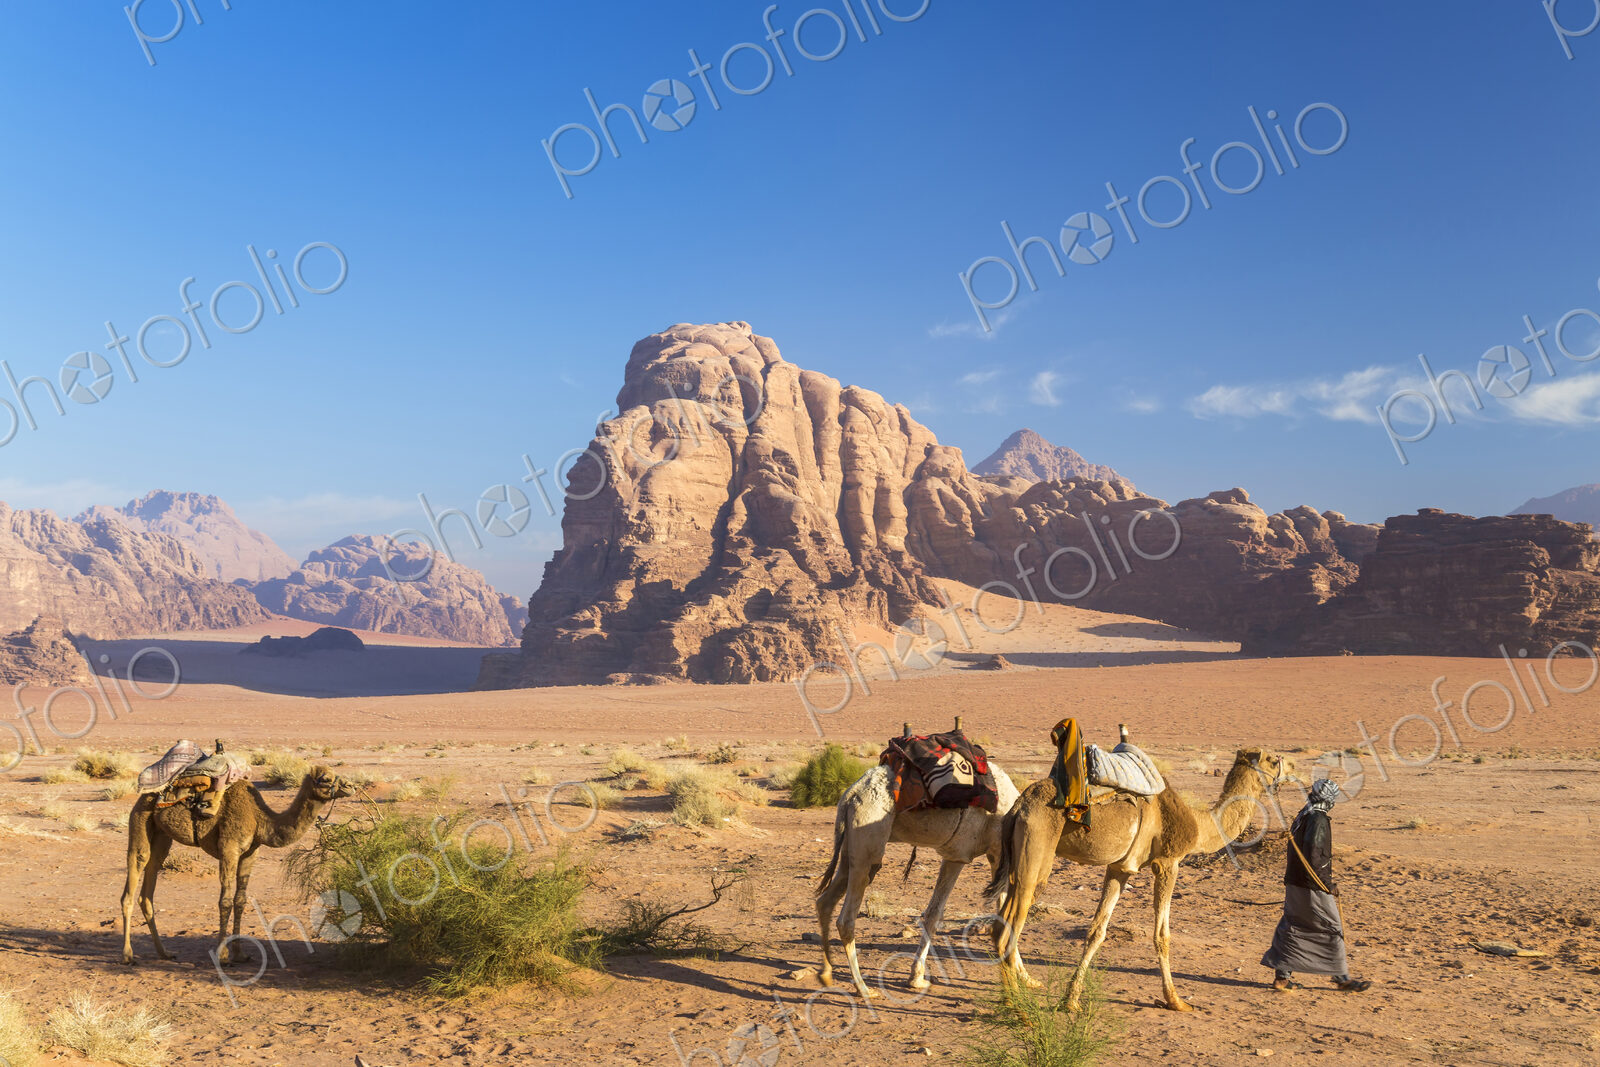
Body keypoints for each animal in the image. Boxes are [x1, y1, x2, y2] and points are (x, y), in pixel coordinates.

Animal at [120, 765, 353, 965]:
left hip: (162, 835)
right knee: (135, 873)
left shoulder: (250, 853)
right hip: (140, 819)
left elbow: (240, 900)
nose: (350, 785)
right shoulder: (229, 848)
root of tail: (146, 794)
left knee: (150, 882)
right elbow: (225, 901)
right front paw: (222, 956)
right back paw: (128, 956)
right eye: (325, 778)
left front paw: (240, 954)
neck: (259, 818)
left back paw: (165, 953)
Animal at [815, 760, 1020, 1001]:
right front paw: (1024, 978)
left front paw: (917, 978)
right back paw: (863, 988)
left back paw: (826, 974)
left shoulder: (956, 857)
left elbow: (934, 913)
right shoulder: (996, 855)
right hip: (867, 841)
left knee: (825, 901)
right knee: (846, 918)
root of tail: (850, 795)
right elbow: (1008, 917)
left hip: (850, 847)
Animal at [986, 747, 1300, 1012]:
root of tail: (1019, 806)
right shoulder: (1168, 863)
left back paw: (1012, 996)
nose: (1293, 769)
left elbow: (1097, 931)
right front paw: (1175, 1001)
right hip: (1037, 850)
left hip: (1017, 858)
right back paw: (1017, 1007)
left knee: (1001, 923)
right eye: (1274, 759)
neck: (1199, 825)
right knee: (1007, 928)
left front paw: (1071, 1000)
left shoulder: (1120, 869)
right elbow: (1162, 935)